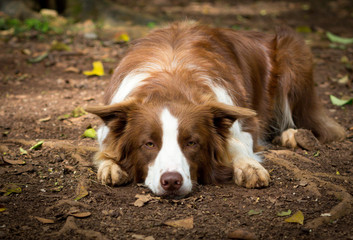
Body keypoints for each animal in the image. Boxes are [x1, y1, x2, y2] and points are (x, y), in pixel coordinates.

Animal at [86, 21, 346, 196]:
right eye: (149, 144)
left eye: (192, 143)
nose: (171, 181)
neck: (171, 84)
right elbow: (105, 150)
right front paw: (109, 165)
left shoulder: (243, 121)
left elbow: (235, 142)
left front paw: (249, 166)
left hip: (293, 54)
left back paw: (292, 134)